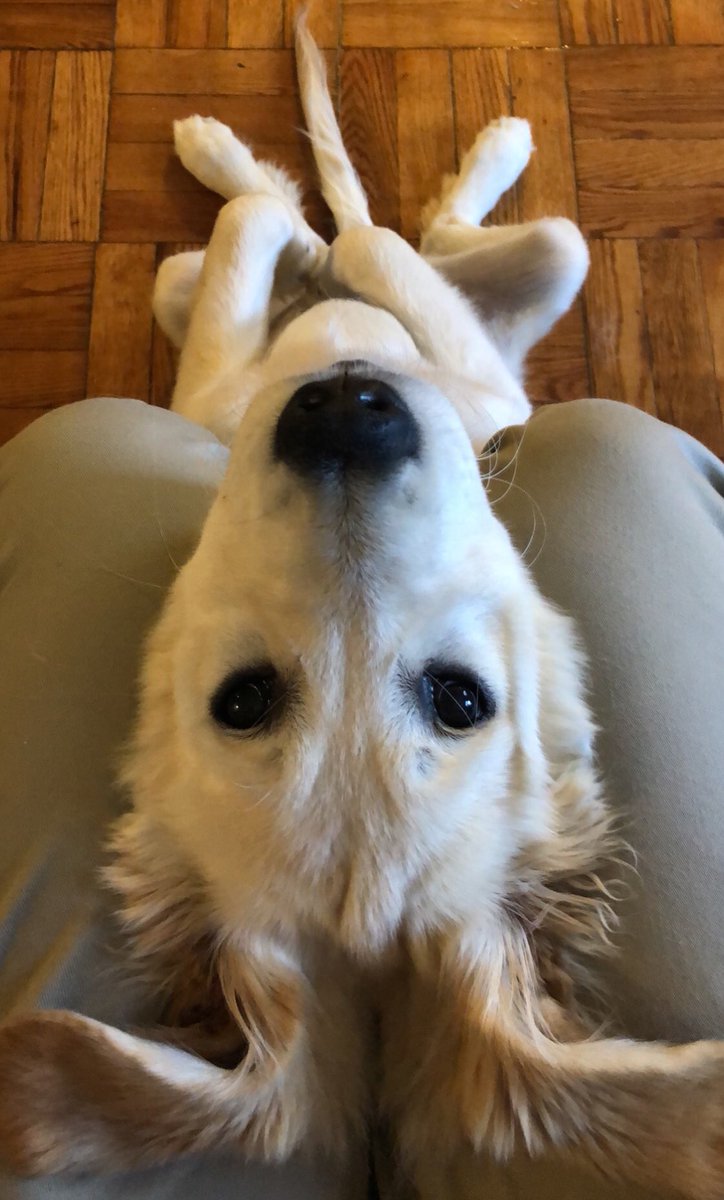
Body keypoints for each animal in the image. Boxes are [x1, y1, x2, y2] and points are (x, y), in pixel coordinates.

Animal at [2, 19, 724, 1200]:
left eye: (459, 698)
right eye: (245, 699)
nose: (348, 410)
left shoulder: (388, 392)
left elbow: (329, 239)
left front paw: (296, 223)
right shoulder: (238, 390)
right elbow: (311, 240)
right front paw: (290, 218)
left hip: (501, 290)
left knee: (425, 236)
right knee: (391, 239)